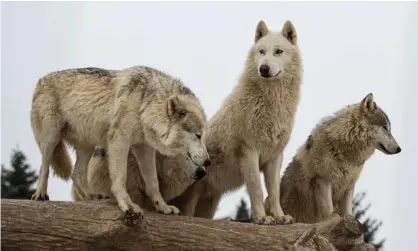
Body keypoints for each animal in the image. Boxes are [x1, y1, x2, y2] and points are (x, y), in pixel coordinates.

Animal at [170, 18, 304, 225]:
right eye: (261, 51)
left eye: (278, 51)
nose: (263, 69)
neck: (272, 103)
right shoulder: (249, 153)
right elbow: (257, 190)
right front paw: (262, 218)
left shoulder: (275, 156)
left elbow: (274, 192)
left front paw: (280, 217)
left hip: (208, 205)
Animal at [278, 93, 402, 223]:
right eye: (385, 128)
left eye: (389, 129)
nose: (399, 149)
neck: (345, 154)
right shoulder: (323, 181)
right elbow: (329, 212)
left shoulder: (349, 186)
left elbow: (348, 214)